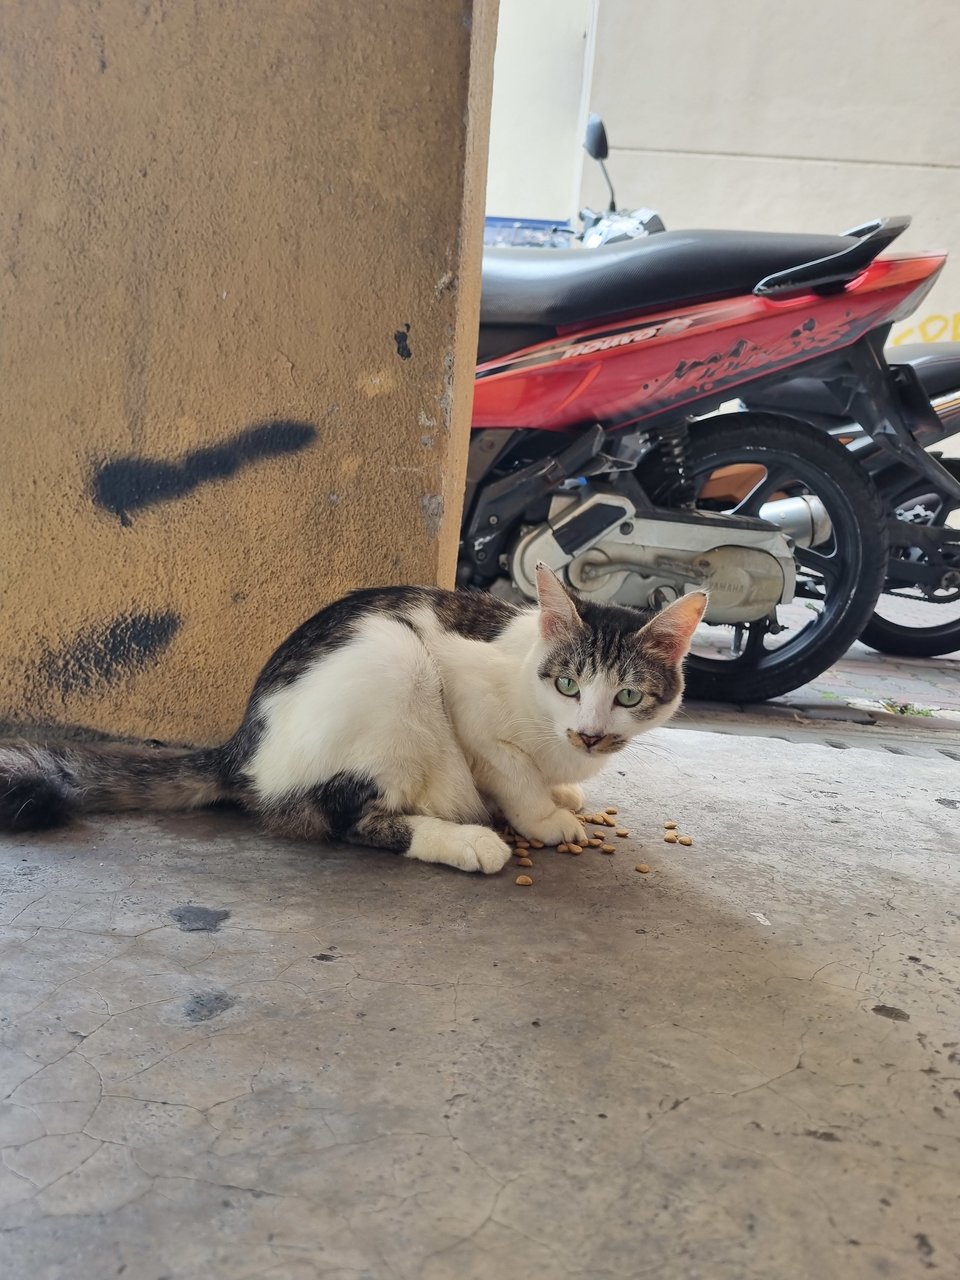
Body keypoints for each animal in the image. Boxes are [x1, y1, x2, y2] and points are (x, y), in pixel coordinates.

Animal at [0, 568, 706, 875]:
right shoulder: (468, 700)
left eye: (629, 697)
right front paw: (545, 816)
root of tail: (239, 746)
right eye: (568, 685)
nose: (589, 731)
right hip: (392, 660)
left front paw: (564, 790)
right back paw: (467, 842)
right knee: (342, 816)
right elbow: (511, 771)